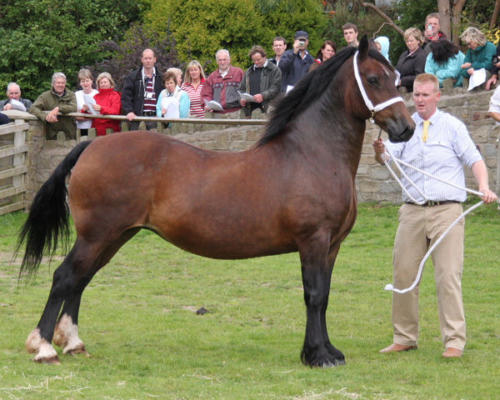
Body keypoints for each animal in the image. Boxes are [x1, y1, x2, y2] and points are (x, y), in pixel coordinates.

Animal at [16, 37, 414, 366]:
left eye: (396, 78)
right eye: (374, 79)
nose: (406, 128)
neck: (310, 154)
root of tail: (90, 147)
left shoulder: (332, 246)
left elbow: (325, 296)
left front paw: (327, 351)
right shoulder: (313, 241)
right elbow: (314, 295)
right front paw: (317, 356)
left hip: (113, 236)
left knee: (80, 279)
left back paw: (73, 343)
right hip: (97, 235)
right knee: (65, 276)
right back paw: (44, 347)